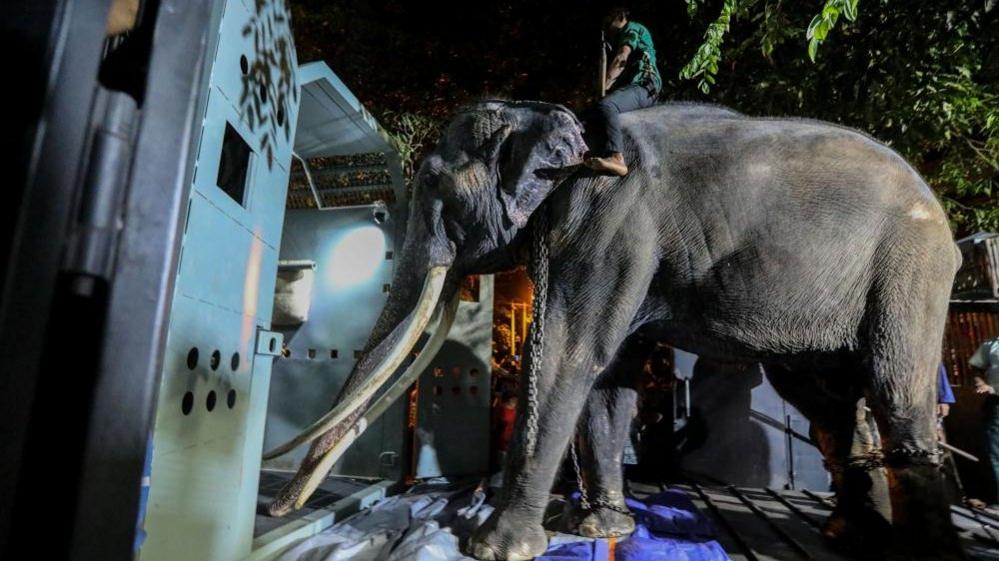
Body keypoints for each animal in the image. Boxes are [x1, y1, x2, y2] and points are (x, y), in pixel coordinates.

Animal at [264, 100, 960, 560]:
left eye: (433, 180)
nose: (272, 509)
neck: (556, 118)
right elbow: (608, 378)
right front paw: (598, 530)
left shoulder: (609, 221)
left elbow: (570, 355)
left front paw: (498, 548)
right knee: (826, 404)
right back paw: (851, 535)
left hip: (911, 264)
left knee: (895, 389)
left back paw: (921, 552)